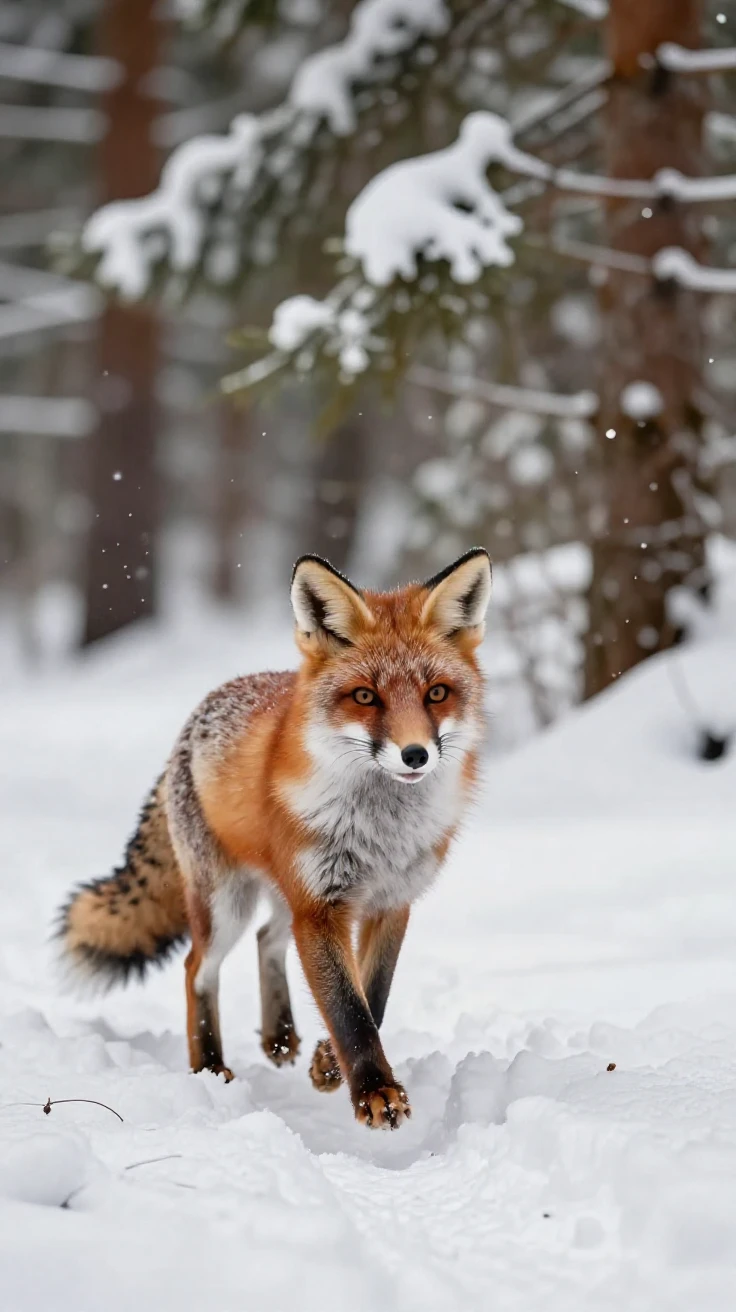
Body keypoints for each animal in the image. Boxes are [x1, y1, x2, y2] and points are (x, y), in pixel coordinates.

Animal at [57, 548, 491, 1129]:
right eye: (365, 697)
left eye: (437, 693)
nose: (415, 754)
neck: (383, 833)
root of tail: (195, 718)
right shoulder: (321, 908)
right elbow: (349, 1010)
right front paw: (375, 1091)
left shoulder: (390, 902)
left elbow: (372, 995)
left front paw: (331, 1063)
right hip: (228, 906)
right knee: (198, 968)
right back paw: (209, 1065)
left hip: (284, 896)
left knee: (266, 939)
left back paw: (279, 1036)